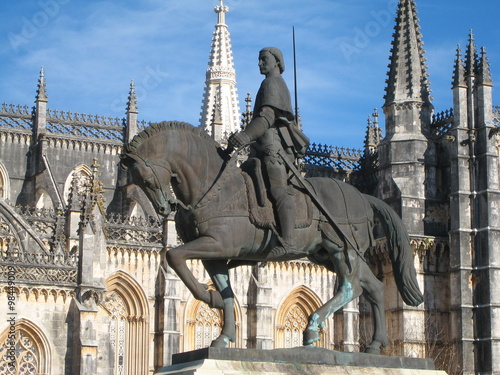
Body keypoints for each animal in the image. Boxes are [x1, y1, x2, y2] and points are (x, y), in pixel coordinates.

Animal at [121, 121, 422, 356]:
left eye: (145, 176)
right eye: (135, 178)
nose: (165, 209)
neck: (214, 187)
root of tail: (363, 196)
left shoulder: (218, 244)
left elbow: (174, 256)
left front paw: (212, 301)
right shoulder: (215, 255)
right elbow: (223, 292)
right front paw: (220, 330)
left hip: (342, 249)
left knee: (351, 287)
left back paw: (312, 327)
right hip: (328, 254)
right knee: (373, 287)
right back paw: (374, 344)